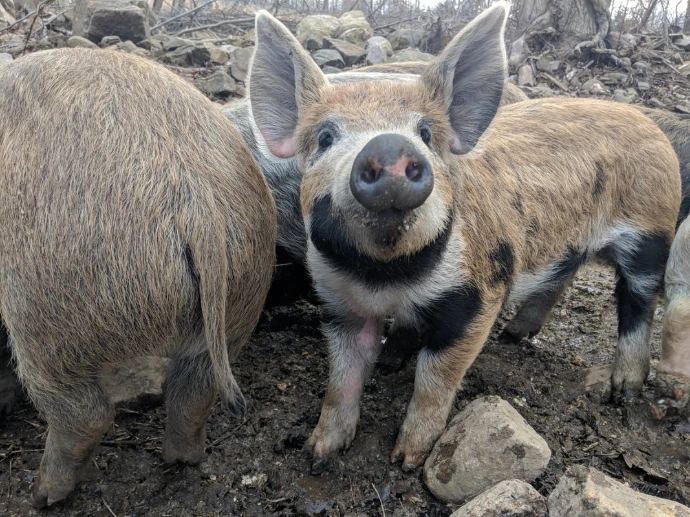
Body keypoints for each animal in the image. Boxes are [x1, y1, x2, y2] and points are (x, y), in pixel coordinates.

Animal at [0, 48, 276, 506]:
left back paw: (42, 496)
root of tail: (195, 198)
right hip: (243, 294)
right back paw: (182, 459)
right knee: (194, 389)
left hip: (46, 319)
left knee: (84, 413)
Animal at [247, 3, 680, 472]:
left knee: (639, 300)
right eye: (325, 137)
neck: (384, 275)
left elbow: (435, 377)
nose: (389, 146)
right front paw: (318, 453)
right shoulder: (338, 303)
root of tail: (646, 120)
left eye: (425, 134)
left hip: (652, 228)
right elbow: (342, 378)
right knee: (565, 273)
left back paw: (624, 390)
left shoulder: (478, 292)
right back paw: (514, 335)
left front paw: (408, 460)